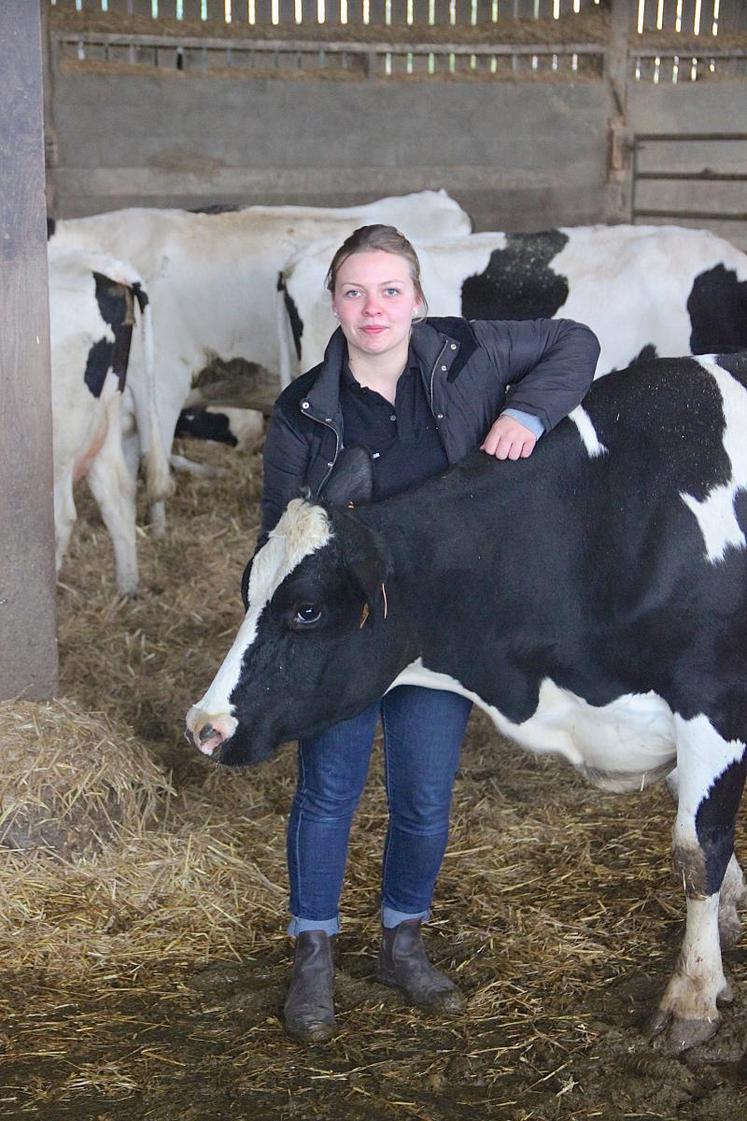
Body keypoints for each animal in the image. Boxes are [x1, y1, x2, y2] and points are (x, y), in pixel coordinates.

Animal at [48, 246, 172, 596]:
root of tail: (102, 266)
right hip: (105, 419)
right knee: (118, 495)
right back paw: (128, 589)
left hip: (60, 436)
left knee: (61, 517)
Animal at [186, 351, 744, 1049]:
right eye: (249, 592)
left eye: (306, 610)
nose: (203, 726)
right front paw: (729, 923)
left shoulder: (714, 703)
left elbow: (698, 848)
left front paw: (692, 996)